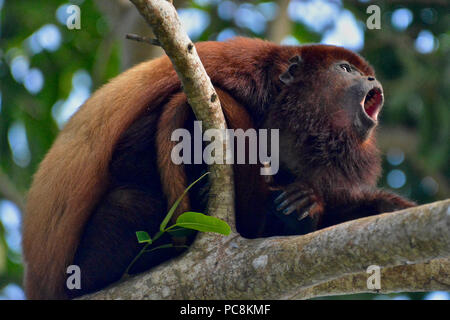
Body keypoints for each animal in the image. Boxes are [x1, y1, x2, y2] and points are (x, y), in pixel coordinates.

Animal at [21, 37, 414, 300]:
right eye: (346, 70)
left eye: (365, 74)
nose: (373, 81)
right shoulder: (230, 73)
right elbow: (130, 156)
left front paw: (308, 203)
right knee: (132, 198)